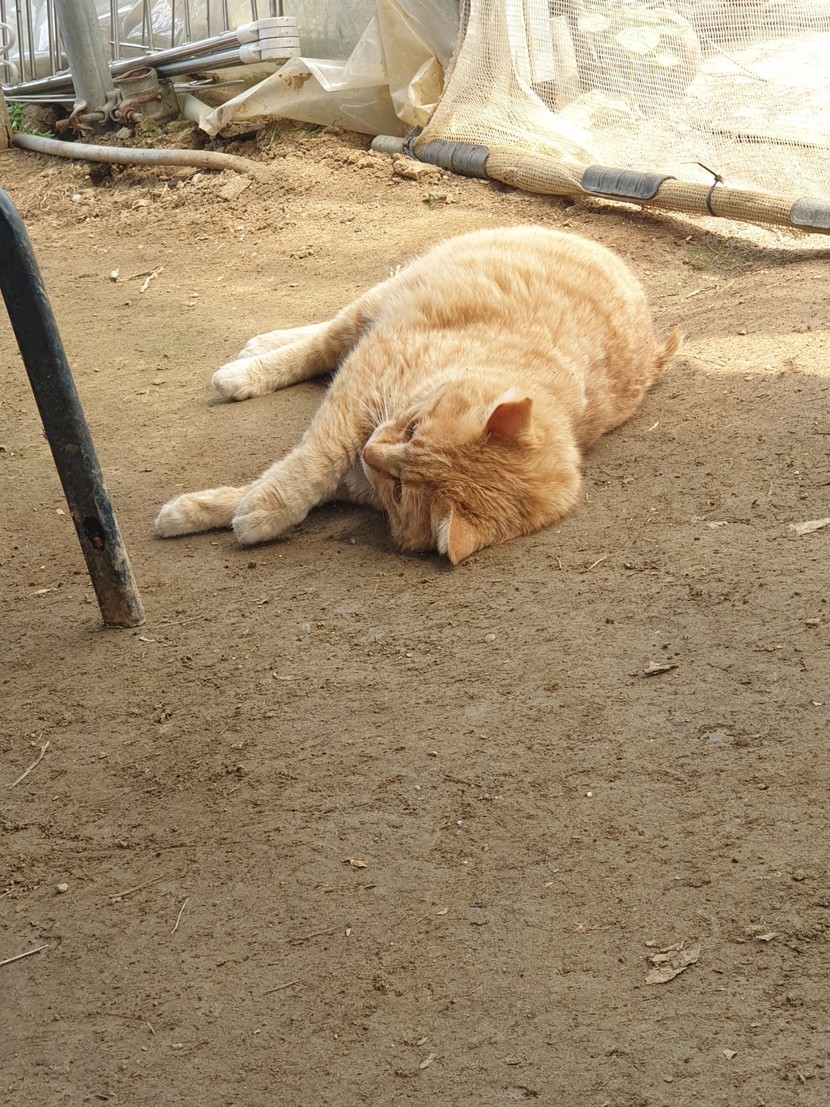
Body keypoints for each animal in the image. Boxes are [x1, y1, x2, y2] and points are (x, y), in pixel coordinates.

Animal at [154, 225, 679, 564]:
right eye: (411, 428)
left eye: (401, 490)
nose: (370, 452)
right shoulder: (366, 377)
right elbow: (312, 461)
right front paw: (264, 509)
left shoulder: (355, 475)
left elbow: (256, 487)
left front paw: (195, 513)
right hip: (380, 300)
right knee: (323, 340)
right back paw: (248, 363)